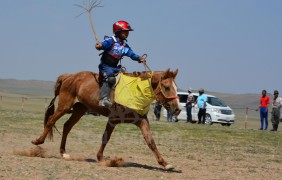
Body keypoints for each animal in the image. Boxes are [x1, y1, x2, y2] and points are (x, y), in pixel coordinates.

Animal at [30, 68, 181, 170]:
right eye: (166, 87)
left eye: (176, 87)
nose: (177, 109)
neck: (135, 91)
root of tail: (69, 76)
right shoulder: (112, 120)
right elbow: (105, 138)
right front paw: (101, 158)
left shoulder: (142, 121)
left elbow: (151, 142)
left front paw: (165, 163)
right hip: (64, 106)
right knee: (51, 121)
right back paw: (38, 141)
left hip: (79, 110)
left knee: (67, 126)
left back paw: (64, 153)